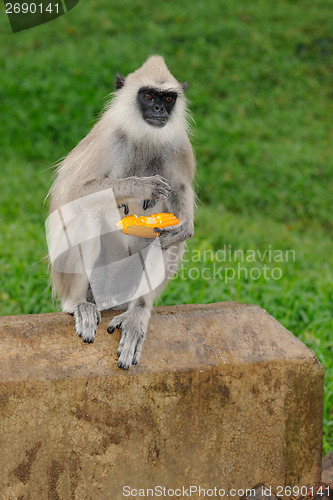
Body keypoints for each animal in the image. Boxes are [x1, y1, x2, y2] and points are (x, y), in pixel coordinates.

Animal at [48, 55, 196, 368]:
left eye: (168, 98)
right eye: (148, 95)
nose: (158, 109)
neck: (145, 137)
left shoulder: (178, 144)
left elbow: (180, 197)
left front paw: (185, 225)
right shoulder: (109, 136)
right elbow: (74, 192)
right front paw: (141, 187)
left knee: (165, 234)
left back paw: (138, 312)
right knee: (89, 210)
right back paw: (78, 304)